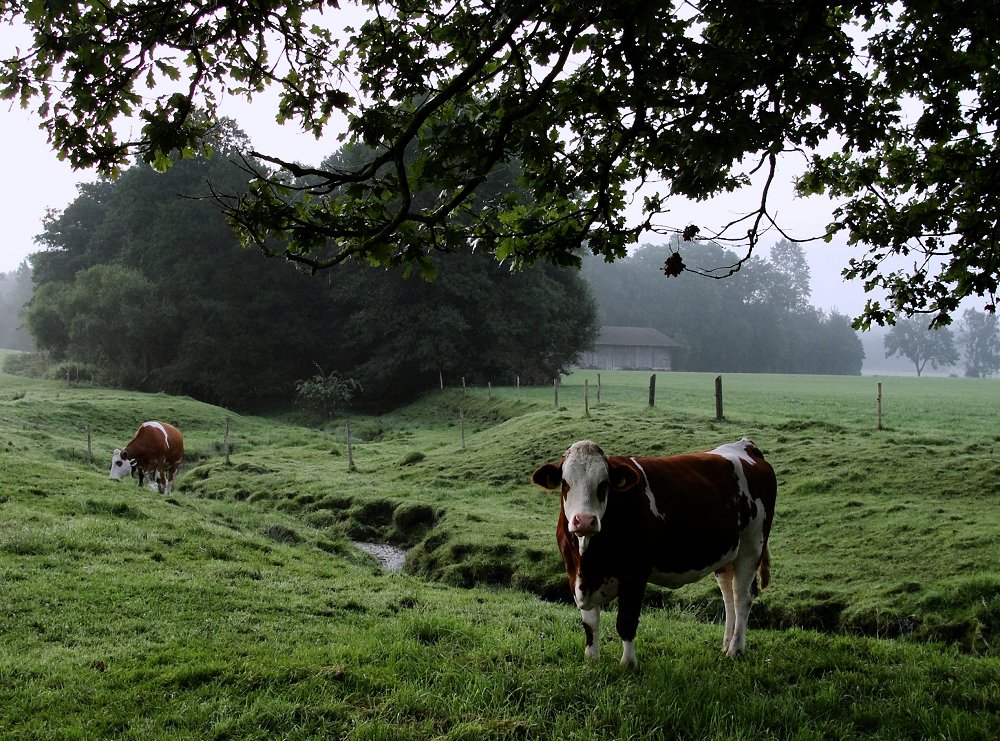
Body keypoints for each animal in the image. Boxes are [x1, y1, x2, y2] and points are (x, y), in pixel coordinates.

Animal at [532, 436, 780, 668]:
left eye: (603, 484)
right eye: (565, 483)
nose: (584, 520)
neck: (588, 559)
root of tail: (745, 445)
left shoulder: (635, 573)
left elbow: (626, 621)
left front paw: (628, 664)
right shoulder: (574, 573)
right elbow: (590, 623)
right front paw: (592, 659)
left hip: (752, 544)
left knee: (742, 597)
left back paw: (735, 649)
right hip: (727, 554)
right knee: (728, 596)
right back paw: (726, 644)